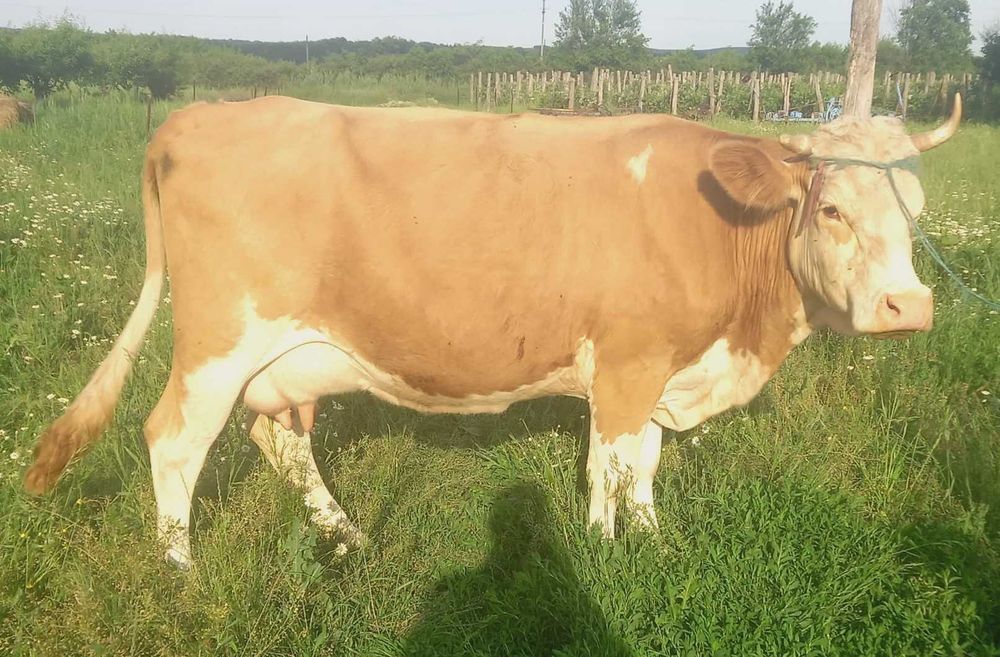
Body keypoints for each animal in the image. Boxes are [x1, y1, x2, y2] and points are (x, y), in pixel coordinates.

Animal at [25, 94, 962, 569]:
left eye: (916, 210)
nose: (908, 308)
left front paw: (654, 538)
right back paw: (181, 569)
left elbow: (646, 463)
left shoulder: (662, 365)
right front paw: (602, 552)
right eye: (832, 207)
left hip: (286, 359)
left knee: (280, 439)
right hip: (219, 341)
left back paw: (346, 534)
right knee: (173, 439)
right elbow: (609, 464)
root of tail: (197, 115)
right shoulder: (627, 361)